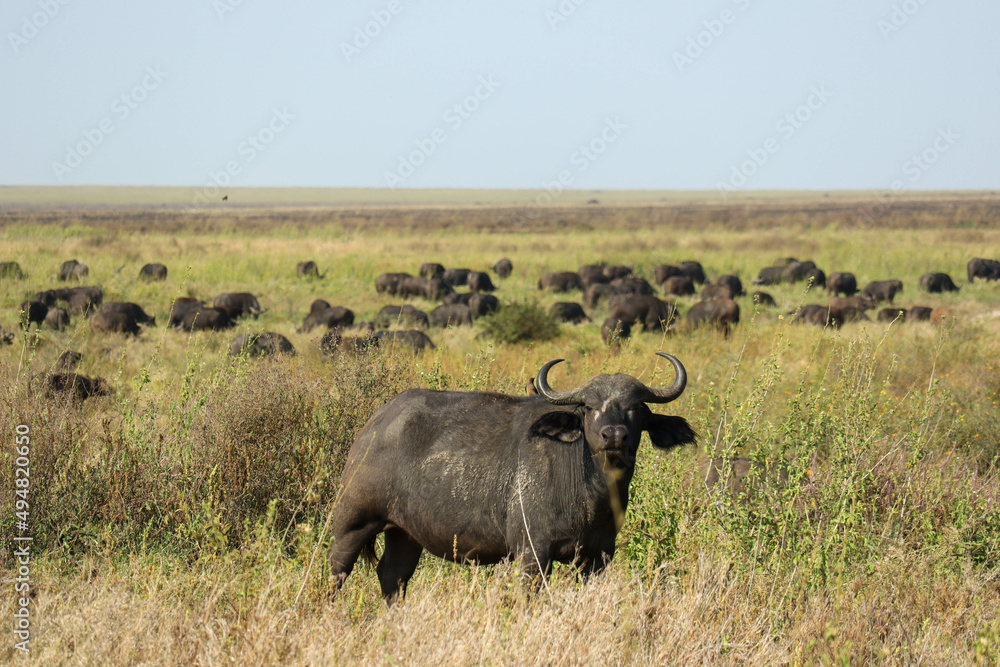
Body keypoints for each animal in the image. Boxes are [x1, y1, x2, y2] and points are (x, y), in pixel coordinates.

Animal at [327, 353, 695, 602]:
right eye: (589, 407)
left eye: (635, 408)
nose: (614, 435)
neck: (592, 494)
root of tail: (373, 424)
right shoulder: (533, 554)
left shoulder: (597, 558)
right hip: (352, 522)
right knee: (337, 569)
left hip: (404, 533)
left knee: (392, 576)